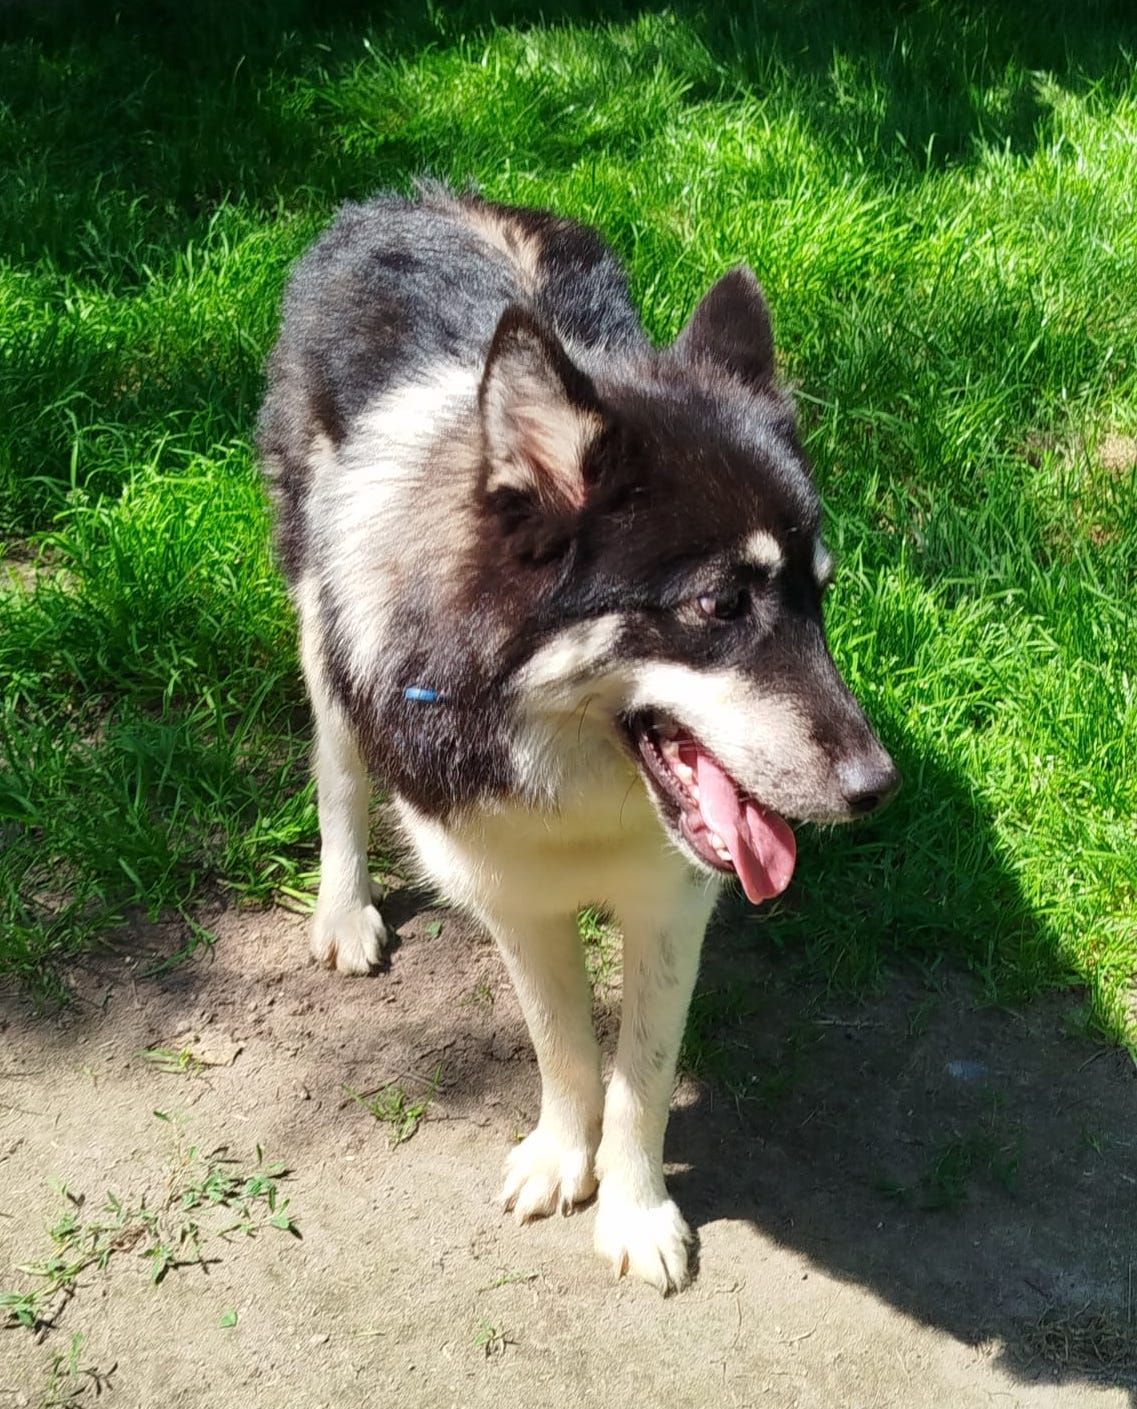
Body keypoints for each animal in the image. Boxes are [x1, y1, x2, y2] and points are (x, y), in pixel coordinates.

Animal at [258, 183, 898, 1293]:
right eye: (719, 603)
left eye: (821, 595)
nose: (877, 783)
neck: (566, 770)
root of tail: (411, 194)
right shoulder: (511, 896)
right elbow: (564, 1045)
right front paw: (564, 1161)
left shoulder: (672, 903)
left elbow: (641, 1069)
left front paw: (635, 1213)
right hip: (322, 613)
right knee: (337, 765)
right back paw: (343, 908)